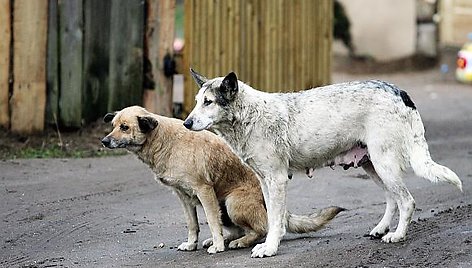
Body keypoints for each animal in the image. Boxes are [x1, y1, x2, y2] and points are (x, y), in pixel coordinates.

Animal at [101, 105, 342, 254]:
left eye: (125, 127)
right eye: (113, 126)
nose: (104, 141)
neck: (163, 140)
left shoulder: (204, 190)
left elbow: (212, 222)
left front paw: (217, 246)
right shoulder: (184, 197)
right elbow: (193, 224)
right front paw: (192, 243)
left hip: (232, 203)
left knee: (262, 229)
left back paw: (238, 242)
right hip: (223, 205)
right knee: (240, 228)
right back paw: (228, 238)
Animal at [183, 69, 460, 258]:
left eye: (208, 102)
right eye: (197, 101)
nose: (186, 123)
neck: (250, 116)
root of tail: (399, 92)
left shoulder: (277, 180)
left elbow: (276, 219)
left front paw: (270, 247)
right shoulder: (264, 181)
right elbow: (272, 217)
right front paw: (270, 241)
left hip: (384, 165)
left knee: (407, 201)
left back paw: (398, 235)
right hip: (374, 167)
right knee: (393, 199)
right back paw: (381, 229)